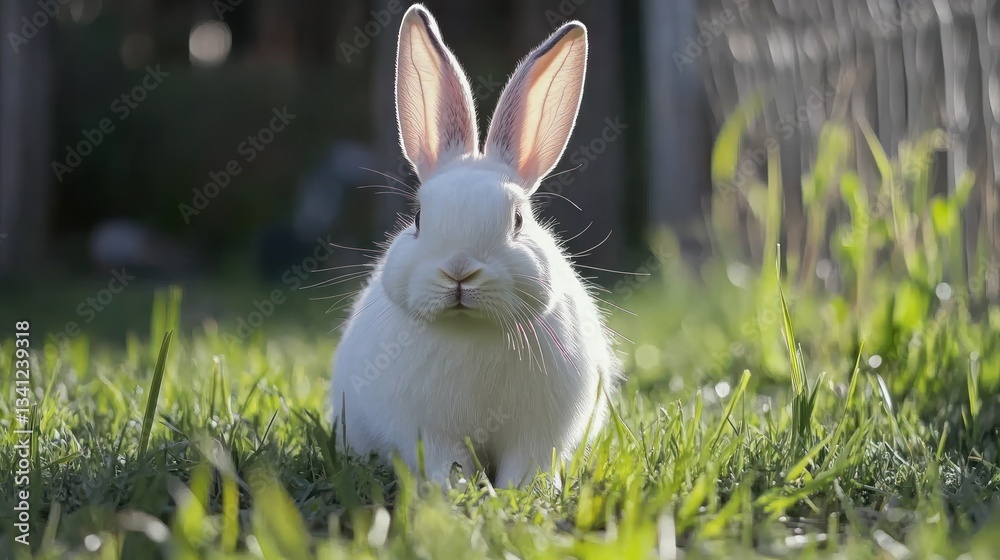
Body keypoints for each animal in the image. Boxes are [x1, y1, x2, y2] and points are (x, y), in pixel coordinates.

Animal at [330, 3, 620, 489]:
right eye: (418, 219)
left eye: (518, 220)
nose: (460, 270)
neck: (470, 329)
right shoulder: (428, 433)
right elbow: (447, 463)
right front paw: (454, 491)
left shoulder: (538, 436)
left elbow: (527, 467)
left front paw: (523, 494)